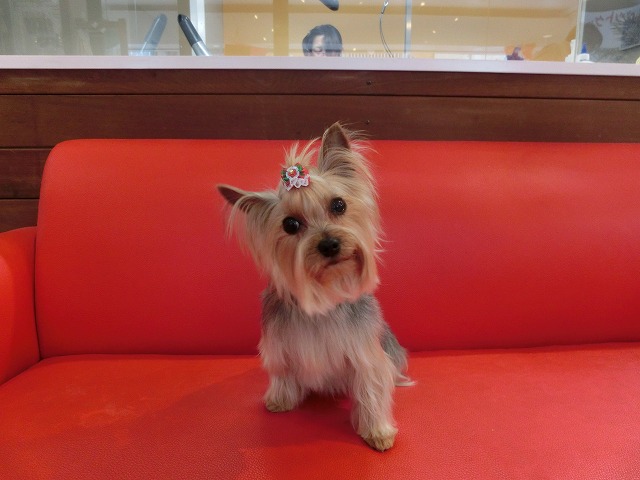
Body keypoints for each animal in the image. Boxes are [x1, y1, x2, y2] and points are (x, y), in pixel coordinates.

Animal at [217, 122, 411, 451]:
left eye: (339, 204)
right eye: (290, 225)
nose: (330, 244)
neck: (325, 298)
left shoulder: (365, 353)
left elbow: (371, 385)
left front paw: (377, 431)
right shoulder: (280, 346)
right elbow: (282, 373)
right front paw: (280, 400)